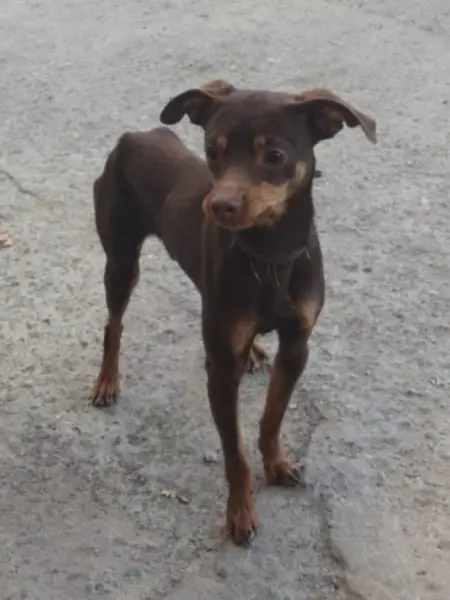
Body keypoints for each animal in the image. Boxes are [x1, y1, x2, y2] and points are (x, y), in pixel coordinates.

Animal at [90, 79, 376, 546]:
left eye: (274, 156)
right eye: (212, 150)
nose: (219, 206)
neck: (269, 255)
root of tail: (133, 137)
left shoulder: (297, 346)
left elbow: (272, 417)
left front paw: (275, 464)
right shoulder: (222, 372)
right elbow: (234, 452)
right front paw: (240, 513)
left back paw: (255, 352)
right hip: (120, 260)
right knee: (113, 324)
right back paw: (107, 381)